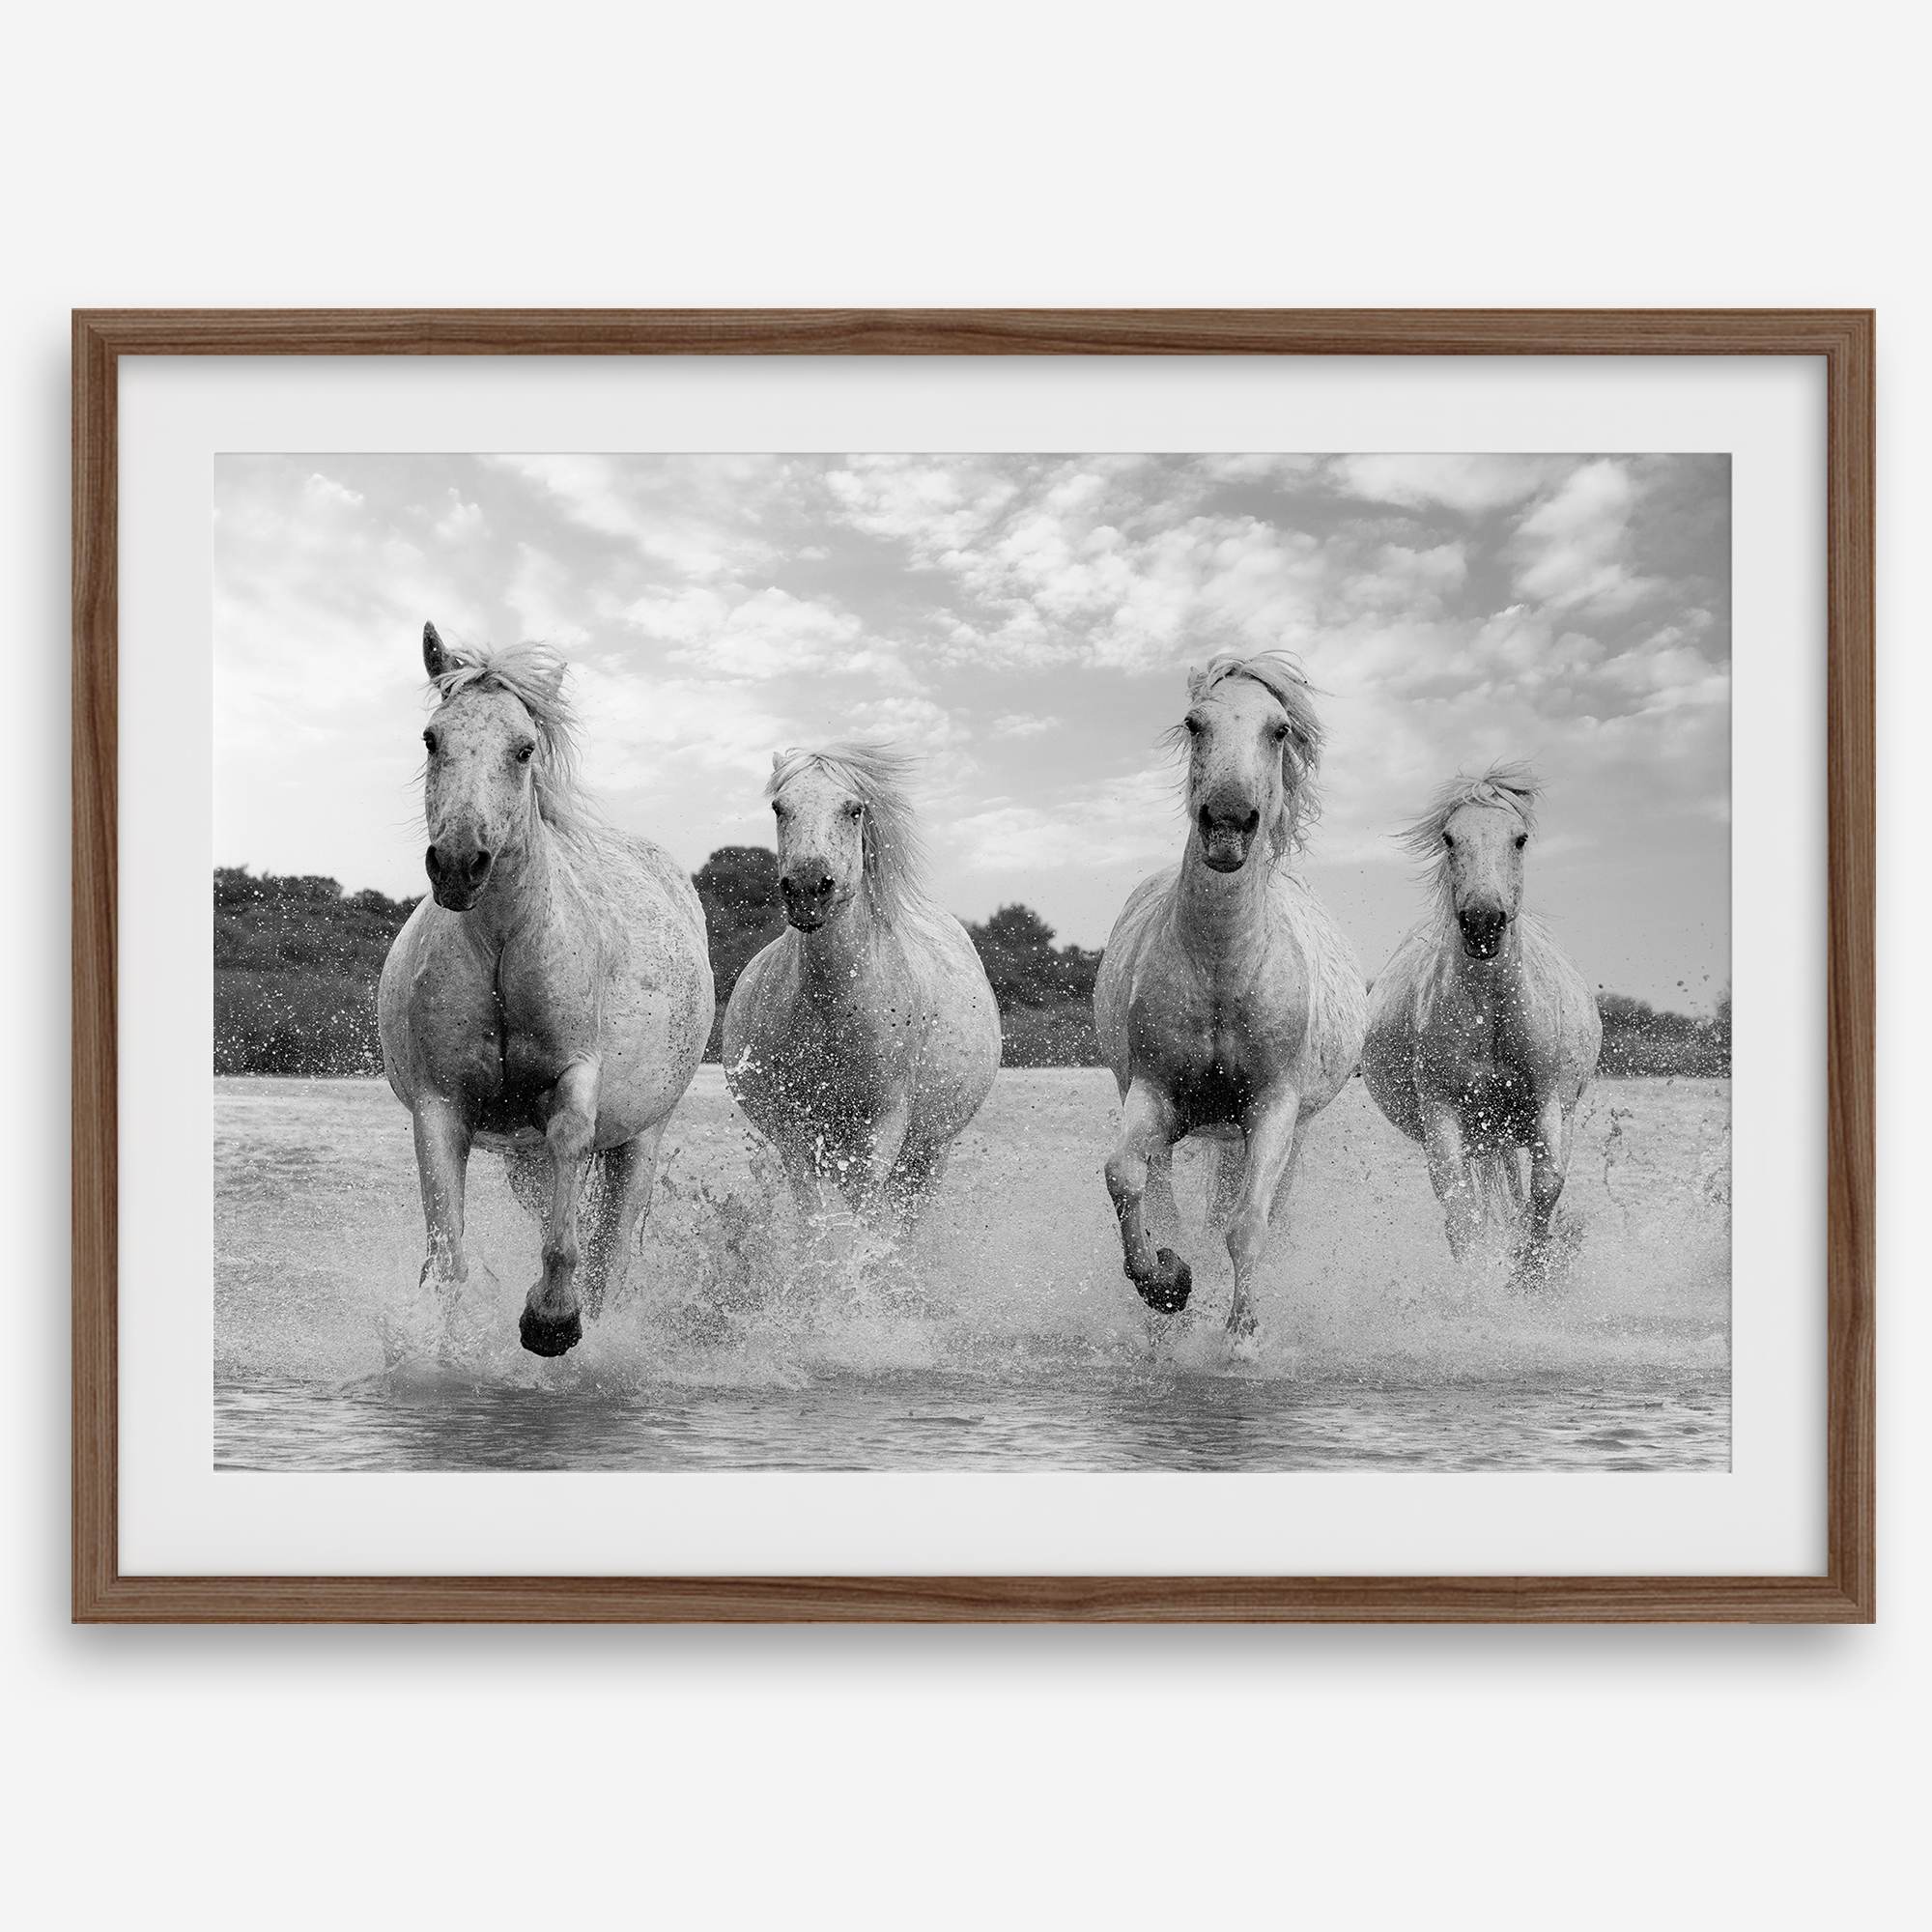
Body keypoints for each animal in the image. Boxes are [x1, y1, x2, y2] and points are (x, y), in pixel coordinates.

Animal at [378, 624, 714, 1357]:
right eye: (432, 738)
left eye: (524, 748)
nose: (459, 865)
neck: (506, 940)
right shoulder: (440, 1107)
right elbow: (448, 1259)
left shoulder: (574, 1079)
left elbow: (569, 1198)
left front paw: (552, 1319)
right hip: (522, 1162)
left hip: (640, 1140)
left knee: (612, 1253)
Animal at [722, 743, 1000, 1232]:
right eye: (779, 807)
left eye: (854, 810)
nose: (808, 889)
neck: (833, 1007)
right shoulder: (795, 1133)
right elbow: (816, 1229)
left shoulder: (884, 1126)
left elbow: (870, 1225)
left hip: (929, 1151)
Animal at [1094, 653, 1367, 1351]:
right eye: (1195, 723)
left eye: (1279, 730)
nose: (1226, 821)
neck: (1222, 967)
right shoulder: (1153, 1093)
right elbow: (1124, 1176)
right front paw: (1167, 1284)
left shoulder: (1273, 1108)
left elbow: (1247, 1225)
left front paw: (1242, 1337)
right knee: (1164, 1193)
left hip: (1286, 1131)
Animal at [1359, 764, 1601, 1290]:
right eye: (1450, 838)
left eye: (1520, 838)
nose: (1483, 922)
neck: (1492, 1011)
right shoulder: (1443, 1115)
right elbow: (1462, 1213)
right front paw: (1479, 1288)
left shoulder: (1549, 1106)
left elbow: (1545, 1189)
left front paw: (1527, 1273)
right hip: (1482, 1137)